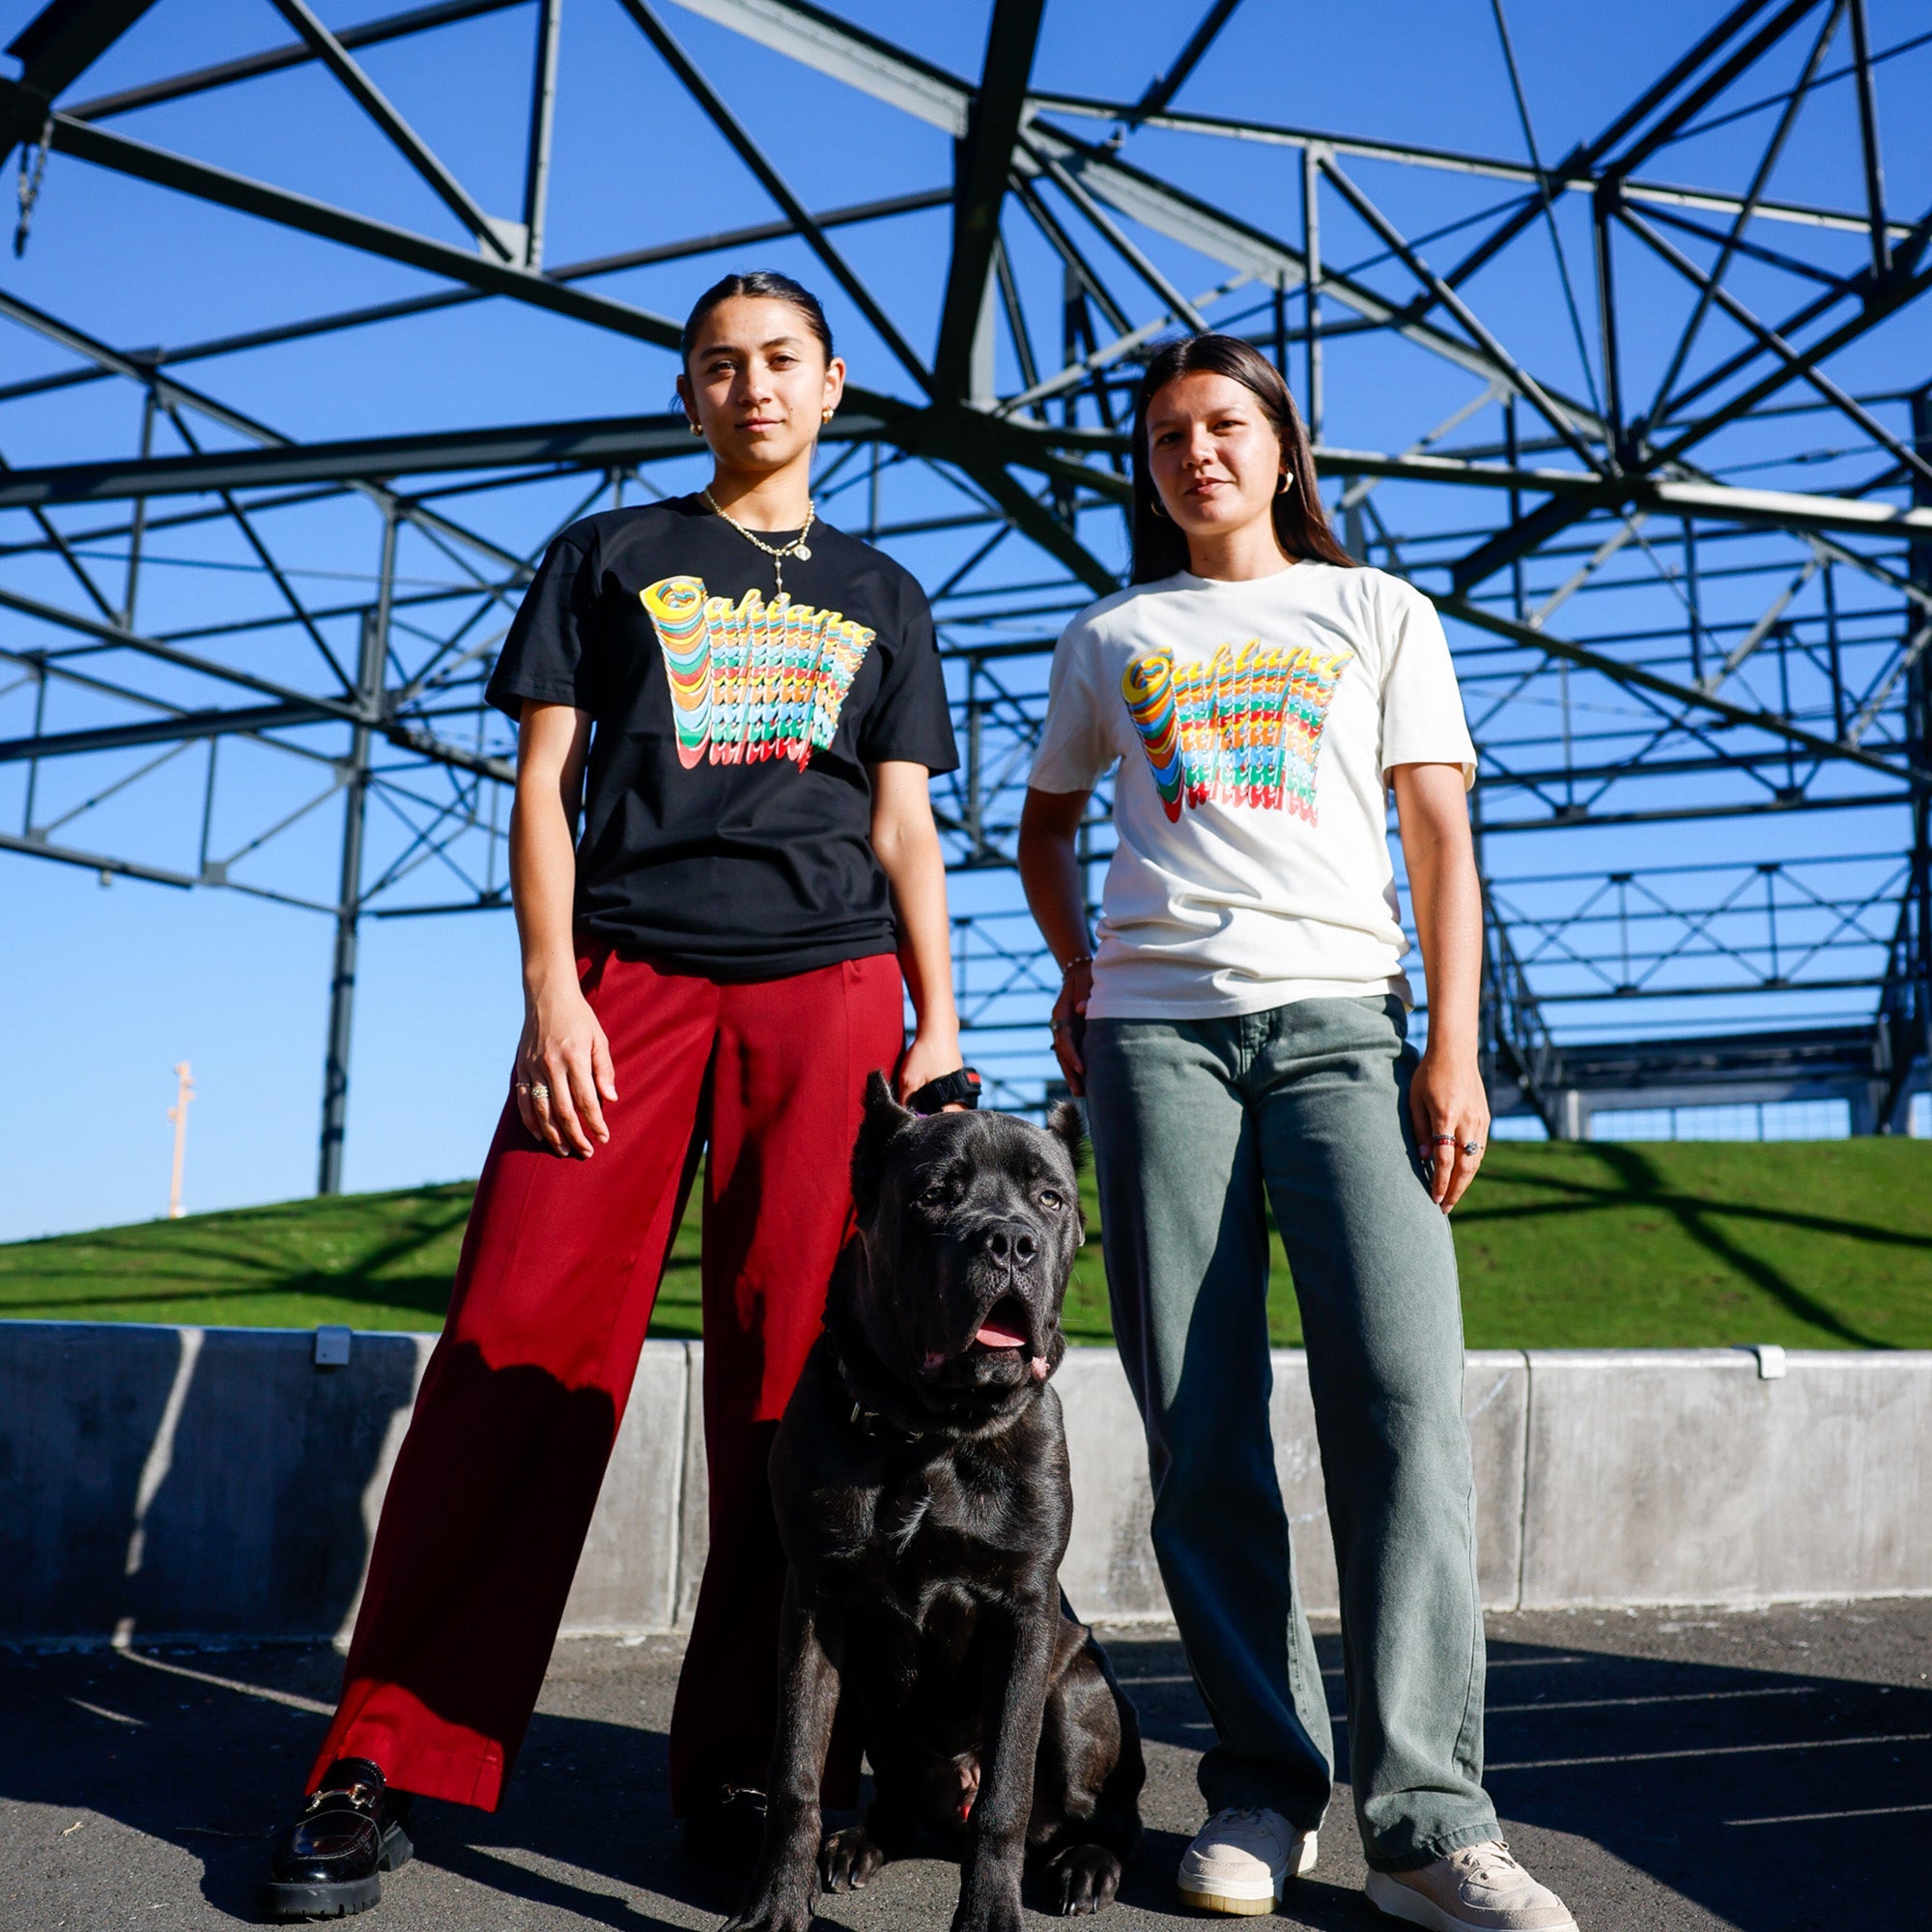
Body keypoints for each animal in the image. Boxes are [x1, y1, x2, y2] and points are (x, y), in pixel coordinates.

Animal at [726, 1074, 1144, 1932]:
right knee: (893, 1800)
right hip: (869, 1701)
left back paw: (1086, 1865)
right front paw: (775, 1902)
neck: (931, 1431)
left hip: (1079, 1695)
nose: (1010, 1242)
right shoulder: (815, 1603)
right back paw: (854, 1845)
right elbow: (794, 1772)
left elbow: (1006, 1794)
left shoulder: (1022, 1613)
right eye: (935, 1194)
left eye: (1051, 1198)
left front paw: (987, 1915)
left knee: (1106, 1815)